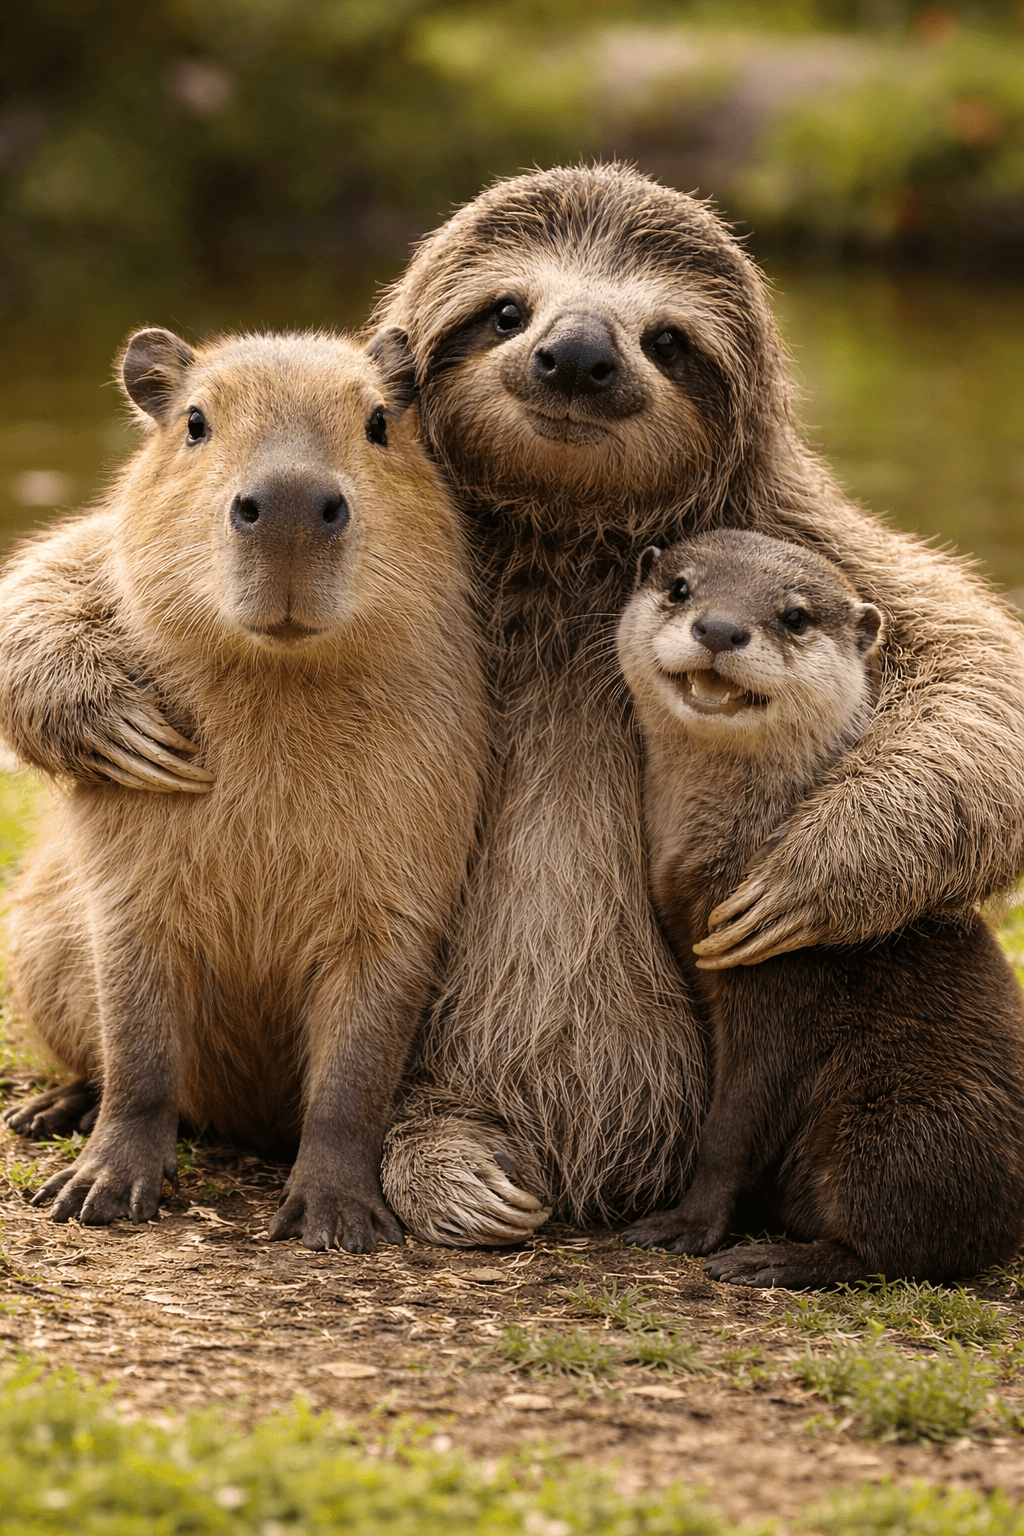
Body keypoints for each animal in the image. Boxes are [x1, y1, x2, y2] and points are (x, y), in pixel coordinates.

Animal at [0, 326, 485, 1251]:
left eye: (380, 421)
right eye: (195, 421)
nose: (291, 506)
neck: (278, 681)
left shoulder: (399, 912)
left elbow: (355, 1072)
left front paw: (337, 1216)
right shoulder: (129, 906)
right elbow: (140, 1048)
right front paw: (98, 1190)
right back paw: (50, 1109)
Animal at [617, 530, 1024, 1286]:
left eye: (796, 616)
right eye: (681, 588)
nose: (720, 628)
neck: (740, 842)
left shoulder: (787, 980)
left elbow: (734, 1127)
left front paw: (687, 1225)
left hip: (908, 1117)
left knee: (901, 1245)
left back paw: (774, 1259)